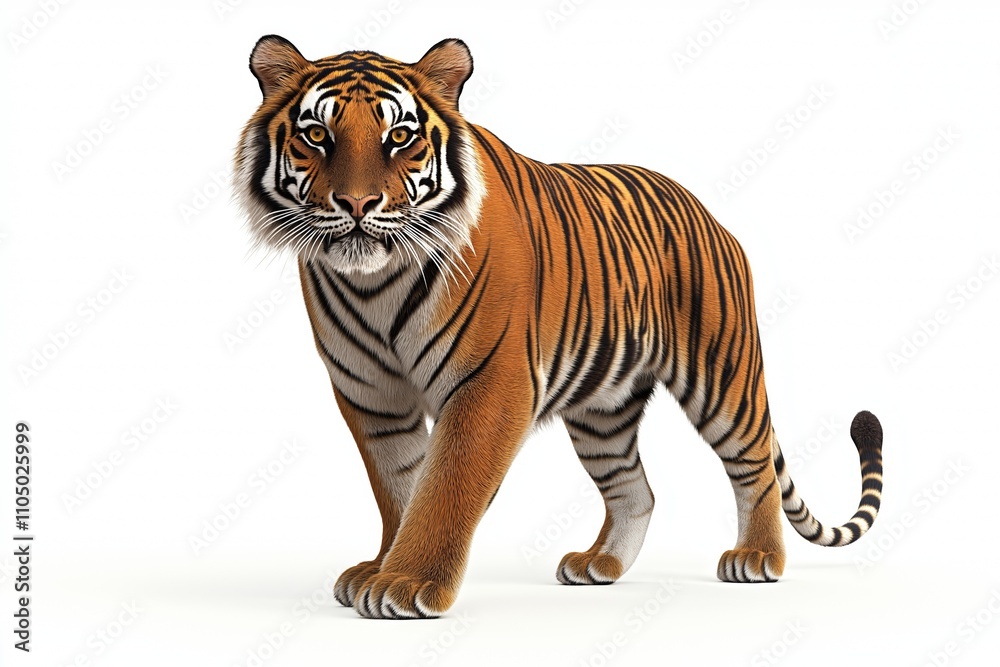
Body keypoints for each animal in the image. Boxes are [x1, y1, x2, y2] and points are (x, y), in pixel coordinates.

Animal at [234, 36, 884, 620]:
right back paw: (601, 566)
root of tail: (707, 211)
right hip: (603, 409)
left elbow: (445, 487)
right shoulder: (371, 395)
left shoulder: (489, 385)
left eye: (400, 137)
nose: (357, 203)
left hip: (722, 374)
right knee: (636, 490)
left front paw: (407, 584)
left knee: (754, 467)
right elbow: (398, 486)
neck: (374, 283)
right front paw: (379, 568)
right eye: (317, 135)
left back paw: (757, 558)